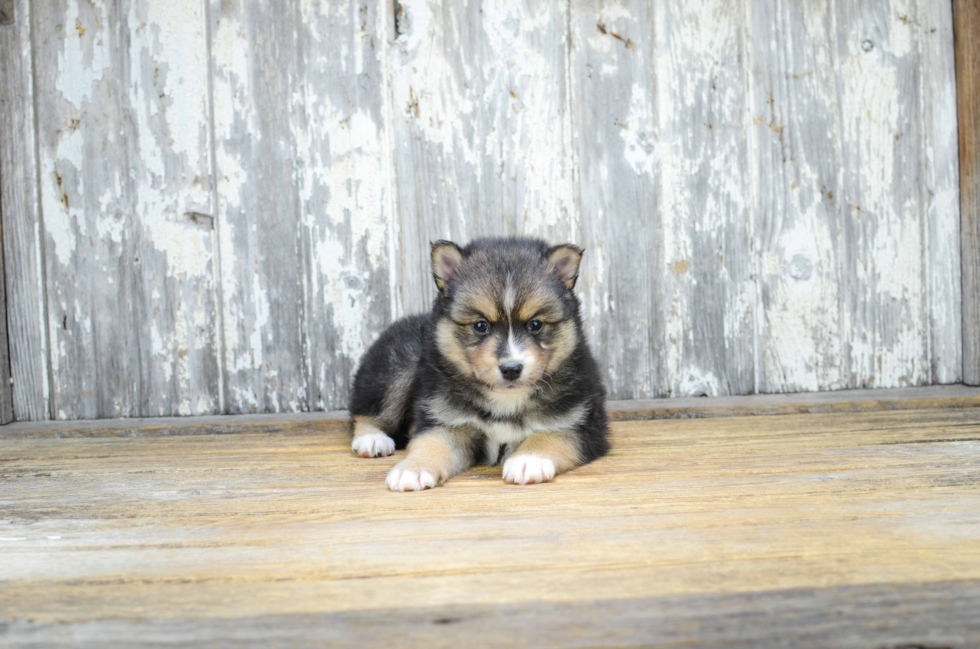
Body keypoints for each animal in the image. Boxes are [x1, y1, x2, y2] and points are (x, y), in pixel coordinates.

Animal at [348, 238, 608, 492]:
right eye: (481, 325)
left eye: (535, 324)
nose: (511, 369)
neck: (506, 400)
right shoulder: (447, 421)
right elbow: (431, 443)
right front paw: (413, 469)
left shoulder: (582, 424)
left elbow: (550, 436)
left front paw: (529, 460)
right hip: (396, 368)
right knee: (367, 413)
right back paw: (372, 439)